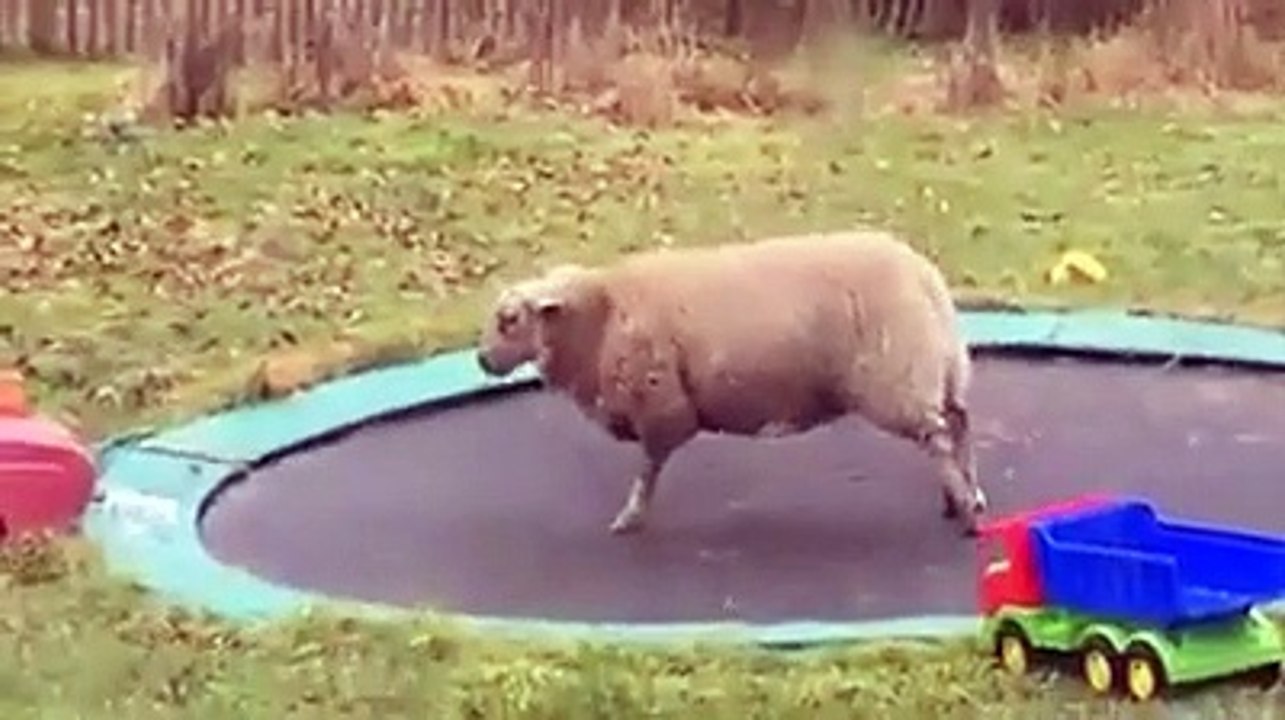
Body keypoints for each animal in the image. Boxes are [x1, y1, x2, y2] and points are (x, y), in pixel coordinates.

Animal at [475, 230, 988, 537]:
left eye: (509, 319)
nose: (481, 360)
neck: (600, 315)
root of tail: (923, 275)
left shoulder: (661, 406)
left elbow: (649, 468)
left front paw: (631, 516)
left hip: (897, 379)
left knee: (939, 438)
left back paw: (965, 511)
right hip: (942, 368)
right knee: (959, 424)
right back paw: (968, 497)